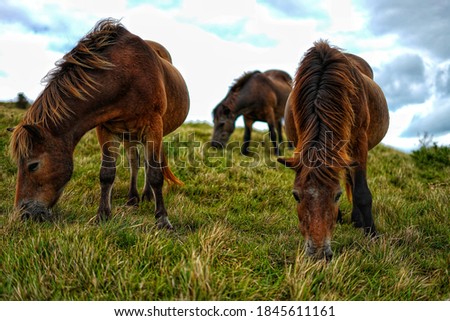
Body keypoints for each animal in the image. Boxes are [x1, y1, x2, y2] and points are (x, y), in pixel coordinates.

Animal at [9, 18, 188, 228]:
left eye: (33, 165)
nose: (24, 214)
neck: (124, 76)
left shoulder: (153, 127)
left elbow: (155, 174)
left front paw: (162, 220)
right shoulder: (106, 130)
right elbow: (107, 174)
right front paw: (102, 215)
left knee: (146, 163)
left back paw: (146, 196)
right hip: (129, 136)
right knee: (134, 162)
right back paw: (133, 198)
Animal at [278, 40, 386, 260]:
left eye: (337, 196)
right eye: (296, 195)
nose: (319, 254)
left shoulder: (359, 143)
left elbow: (361, 192)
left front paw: (372, 234)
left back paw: (358, 221)